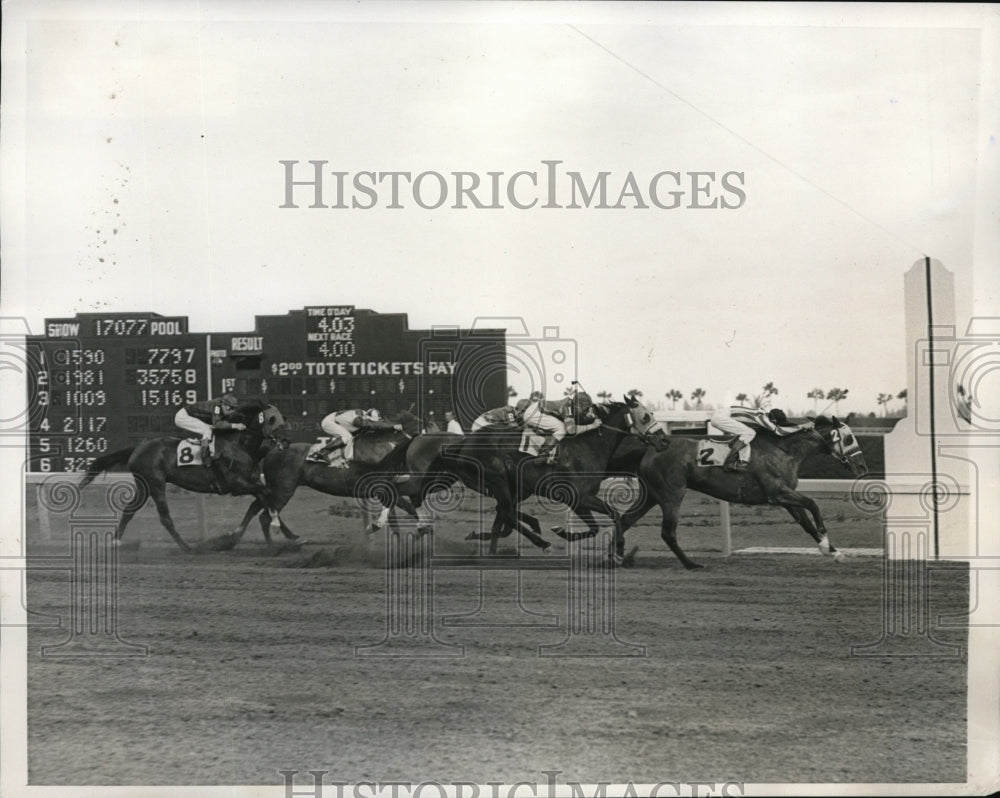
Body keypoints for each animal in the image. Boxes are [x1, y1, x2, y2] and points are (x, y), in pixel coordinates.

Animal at [79, 400, 290, 552]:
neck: (239, 445)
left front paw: (283, 532)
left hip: (144, 486)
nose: (286, 441)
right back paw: (187, 547)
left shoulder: (251, 481)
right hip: (155, 483)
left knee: (129, 511)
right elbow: (266, 494)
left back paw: (116, 542)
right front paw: (274, 526)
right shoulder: (236, 484)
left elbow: (264, 498)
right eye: (272, 419)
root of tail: (138, 447)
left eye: (282, 417)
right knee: (165, 518)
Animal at [604, 406, 872, 568]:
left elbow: (806, 523)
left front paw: (833, 551)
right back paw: (692, 564)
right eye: (849, 438)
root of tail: (651, 448)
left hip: (652, 494)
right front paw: (827, 543)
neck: (784, 450)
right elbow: (813, 504)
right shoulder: (777, 493)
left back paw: (615, 556)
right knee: (667, 532)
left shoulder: (785, 497)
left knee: (625, 520)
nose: (862, 468)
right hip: (672, 495)